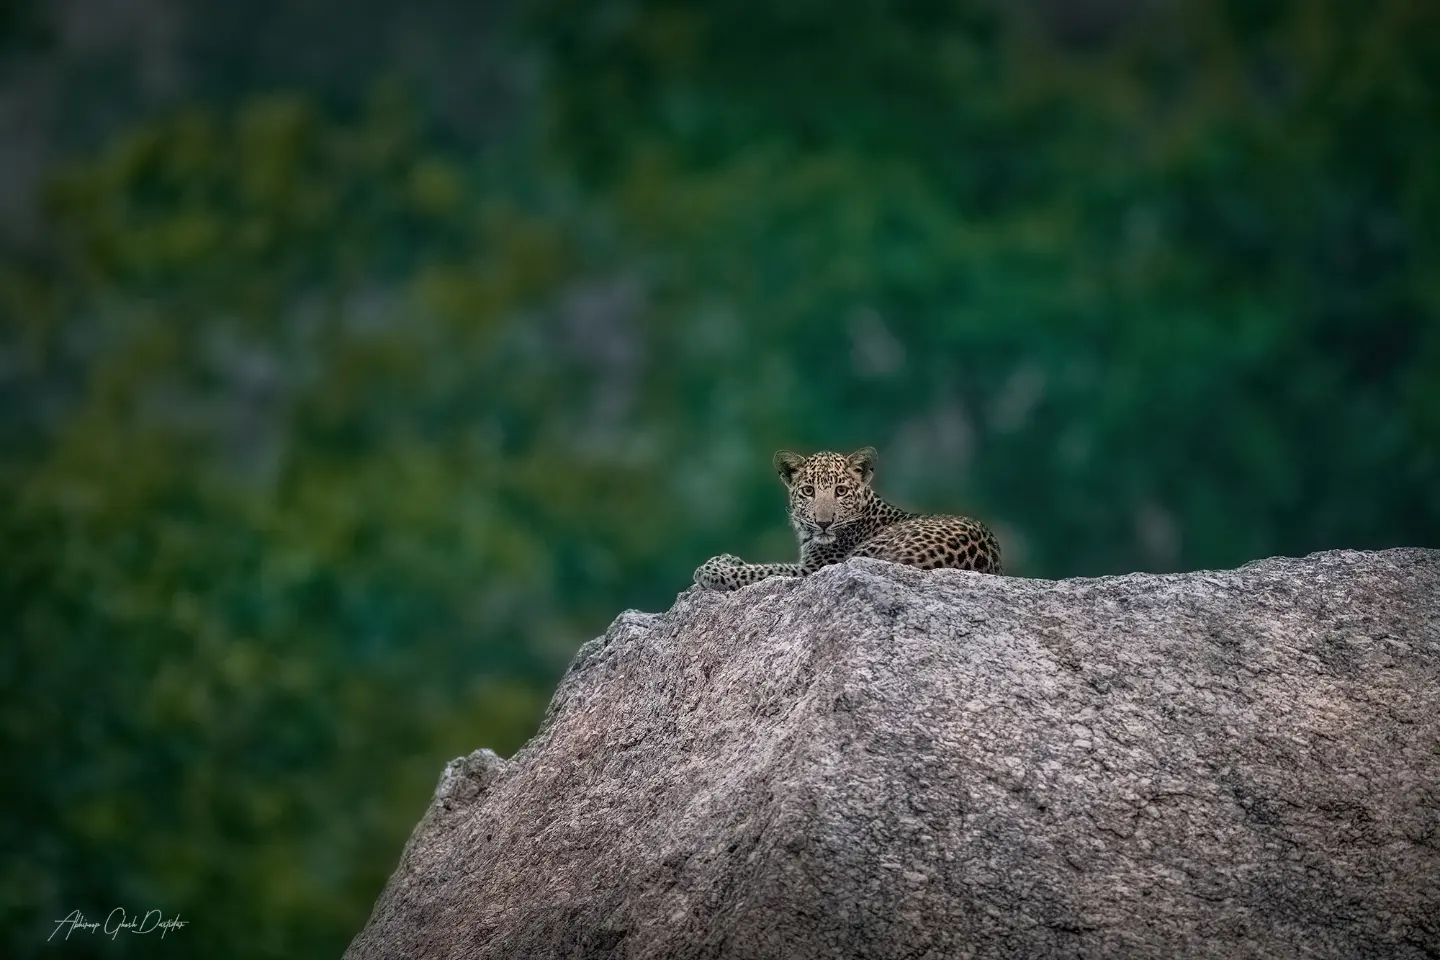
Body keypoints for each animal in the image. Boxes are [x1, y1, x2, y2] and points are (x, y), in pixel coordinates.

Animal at [693, 446, 1003, 591]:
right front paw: (725, 560)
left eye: (840, 491)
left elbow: (764, 570)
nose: (824, 522)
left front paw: (714, 568)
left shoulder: (815, 569)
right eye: (809, 491)